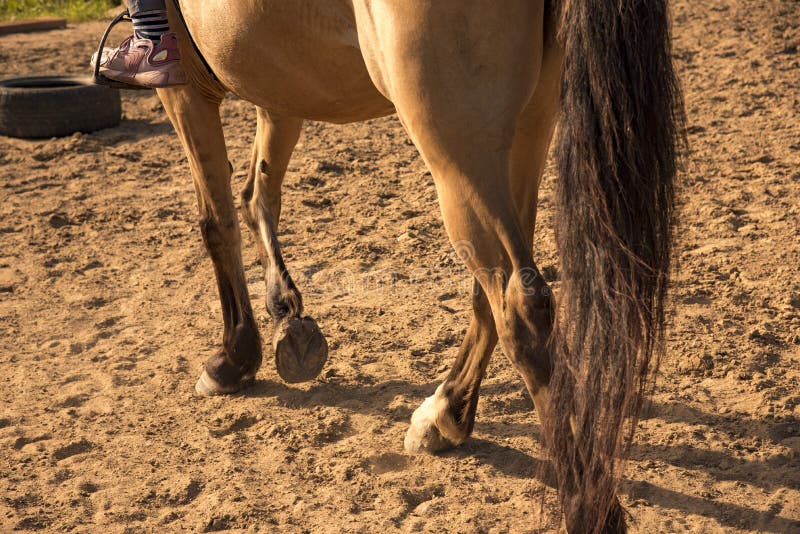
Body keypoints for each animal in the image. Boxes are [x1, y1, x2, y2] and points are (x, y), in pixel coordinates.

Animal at [155, 2, 680, 532]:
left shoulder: (183, 85)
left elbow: (217, 221)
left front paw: (235, 355)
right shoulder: (277, 88)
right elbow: (258, 194)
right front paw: (287, 315)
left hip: (458, 153)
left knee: (520, 307)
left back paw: (585, 506)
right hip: (527, 130)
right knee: (496, 292)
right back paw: (446, 415)